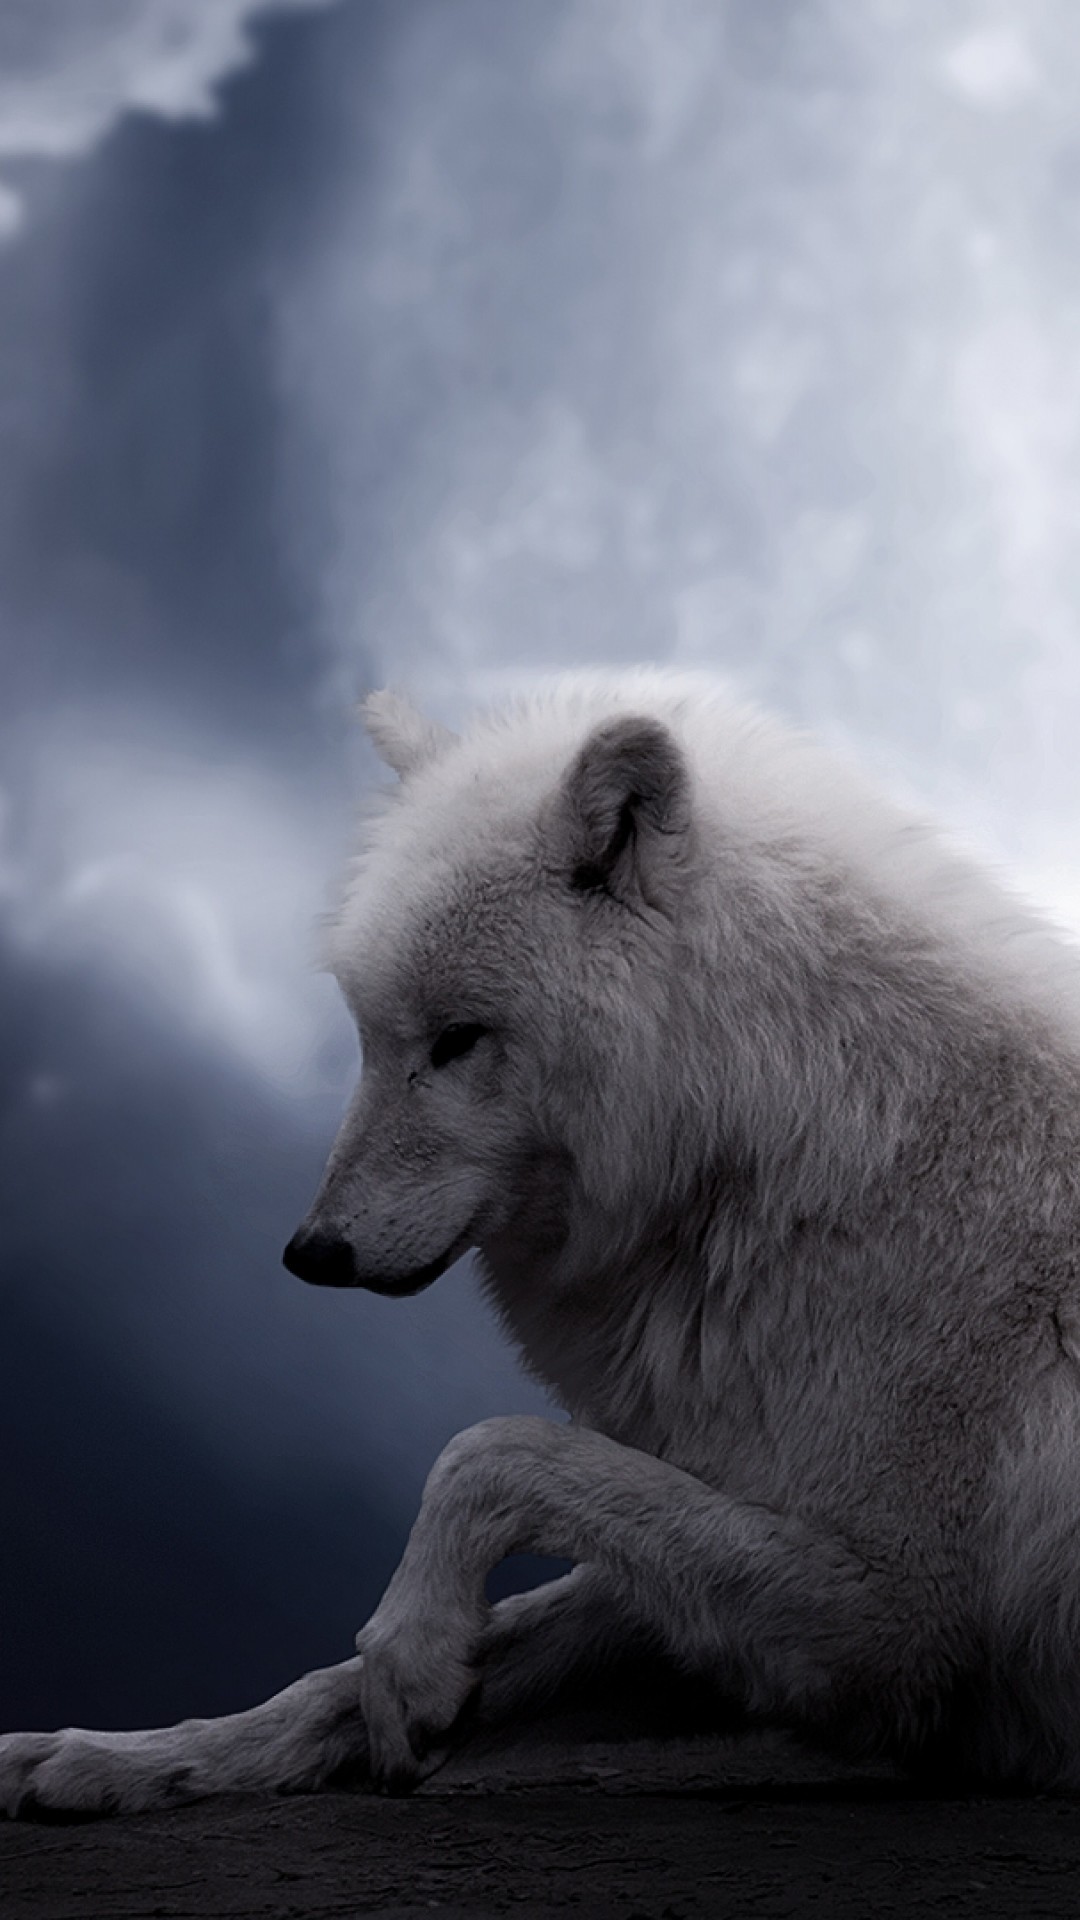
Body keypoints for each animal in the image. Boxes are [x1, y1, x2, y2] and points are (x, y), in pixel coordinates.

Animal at [6, 669, 1080, 1816]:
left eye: (457, 1039)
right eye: (369, 1036)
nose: (312, 1254)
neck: (794, 1150)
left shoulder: (895, 1616)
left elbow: (492, 1452)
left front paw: (410, 1652)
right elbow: (345, 1680)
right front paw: (125, 1757)